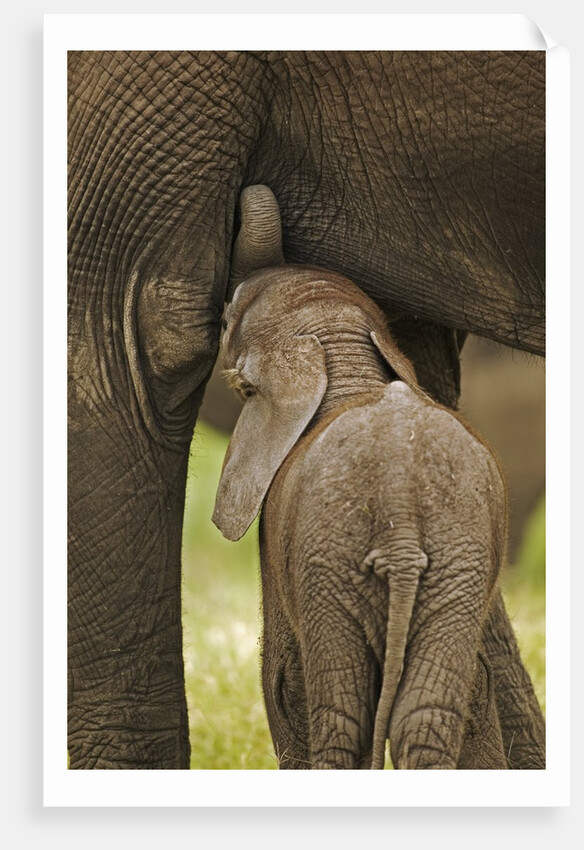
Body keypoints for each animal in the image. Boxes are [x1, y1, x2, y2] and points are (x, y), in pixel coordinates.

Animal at [213, 263, 510, 770]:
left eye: (229, 316)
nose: (224, 300)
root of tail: (399, 506)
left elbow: (283, 683)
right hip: (457, 556)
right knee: (425, 713)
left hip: (330, 560)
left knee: (342, 711)